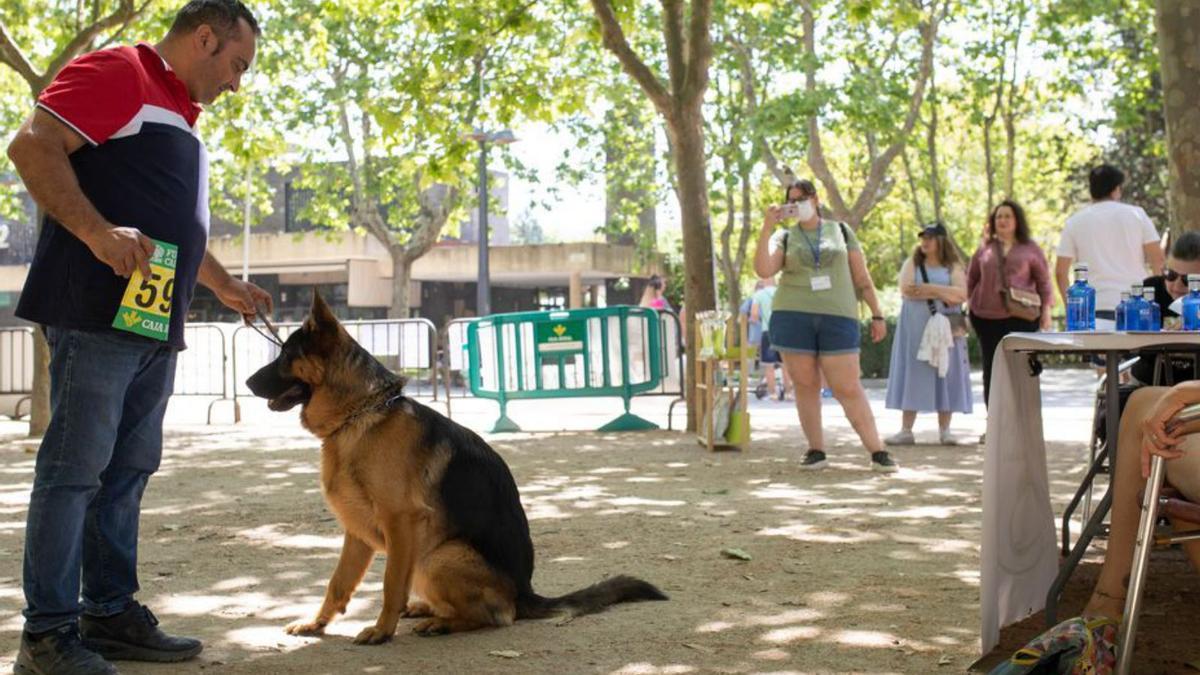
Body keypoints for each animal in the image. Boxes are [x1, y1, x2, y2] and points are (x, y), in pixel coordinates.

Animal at [246, 294, 667, 638]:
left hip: (435, 557)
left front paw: (382, 630)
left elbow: (390, 584)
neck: (361, 414)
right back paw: (425, 609)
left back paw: (442, 622)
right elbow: (338, 583)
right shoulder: (358, 532)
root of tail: (525, 593)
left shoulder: (400, 521)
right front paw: (316, 624)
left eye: (285, 356)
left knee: (497, 616)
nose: (247, 383)